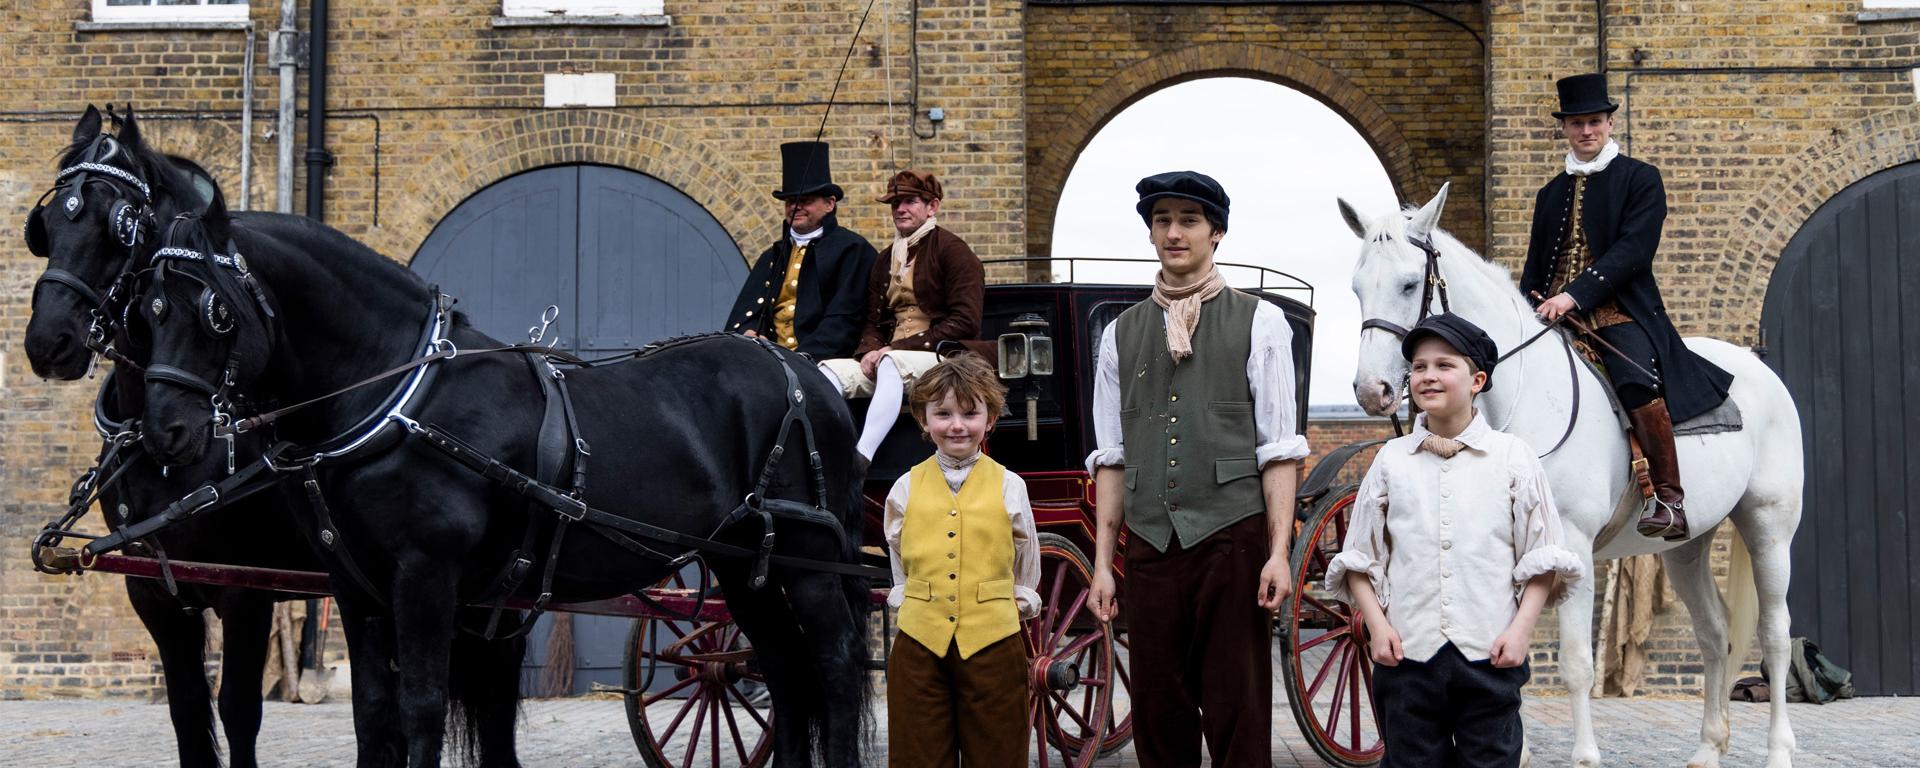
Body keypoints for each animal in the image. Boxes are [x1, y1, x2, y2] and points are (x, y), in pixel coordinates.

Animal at [24, 108, 533, 768]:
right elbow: (187, 714)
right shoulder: (153, 594)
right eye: (47, 224)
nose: (47, 342)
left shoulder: (247, 591)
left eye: (122, 223)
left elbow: (239, 709)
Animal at [125, 141, 879, 764]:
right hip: (743, 564)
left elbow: (422, 708)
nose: (165, 433)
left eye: (216, 312)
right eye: (149, 310)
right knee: (782, 670)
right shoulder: (356, 588)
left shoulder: (425, 575)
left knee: (836, 667)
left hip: (807, 557)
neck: (399, 397)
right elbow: (373, 718)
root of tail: (806, 375)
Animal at [1336, 183, 1797, 764]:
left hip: (1769, 527)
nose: (1369, 390)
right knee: (1715, 633)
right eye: (1356, 287)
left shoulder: (1570, 544)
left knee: (1776, 633)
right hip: (1687, 545)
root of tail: (1756, 366)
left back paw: (1779, 750)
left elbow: (1576, 662)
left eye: (1409, 283)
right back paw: (1708, 749)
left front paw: (1583, 756)